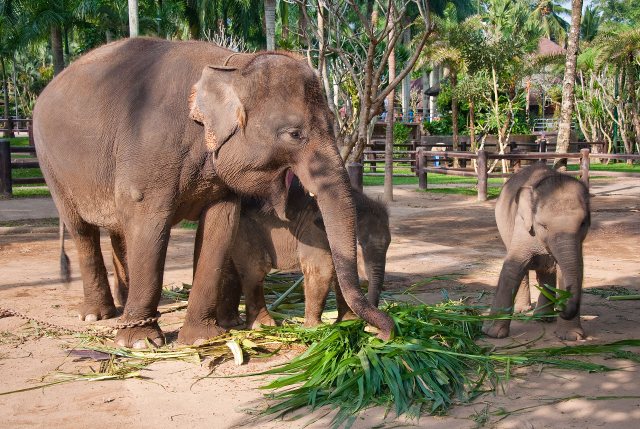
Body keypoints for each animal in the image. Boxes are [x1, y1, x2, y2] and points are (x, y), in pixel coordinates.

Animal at [219, 184, 390, 328]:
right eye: (359, 245)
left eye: (389, 243)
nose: (369, 327)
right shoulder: (312, 233)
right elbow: (322, 270)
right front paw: (315, 328)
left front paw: (347, 322)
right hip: (244, 231)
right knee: (256, 269)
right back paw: (264, 326)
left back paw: (232, 323)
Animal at [480, 162, 592, 340]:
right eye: (543, 225)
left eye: (583, 223)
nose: (561, 307)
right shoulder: (522, 225)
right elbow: (512, 267)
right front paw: (492, 333)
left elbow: (573, 270)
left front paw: (572, 336)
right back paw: (523, 310)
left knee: (547, 270)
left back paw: (543, 317)